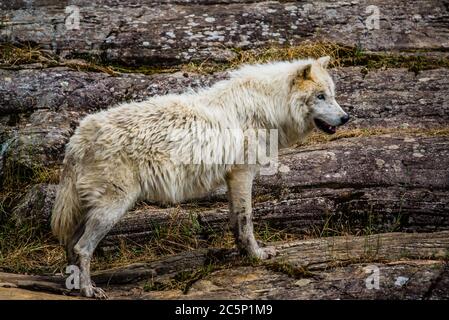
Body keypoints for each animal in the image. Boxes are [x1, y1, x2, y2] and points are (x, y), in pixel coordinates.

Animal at [50, 56, 348, 298]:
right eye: (320, 96)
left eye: (332, 94)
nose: (346, 118)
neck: (268, 107)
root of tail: (77, 138)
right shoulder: (243, 173)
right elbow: (247, 220)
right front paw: (257, 256)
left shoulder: (232, 177)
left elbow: (235, 222)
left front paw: (242, 253)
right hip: (113, 208)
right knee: (82, 248)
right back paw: (89, 290)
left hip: (91, 209)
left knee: (70, 244)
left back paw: (73, 286)